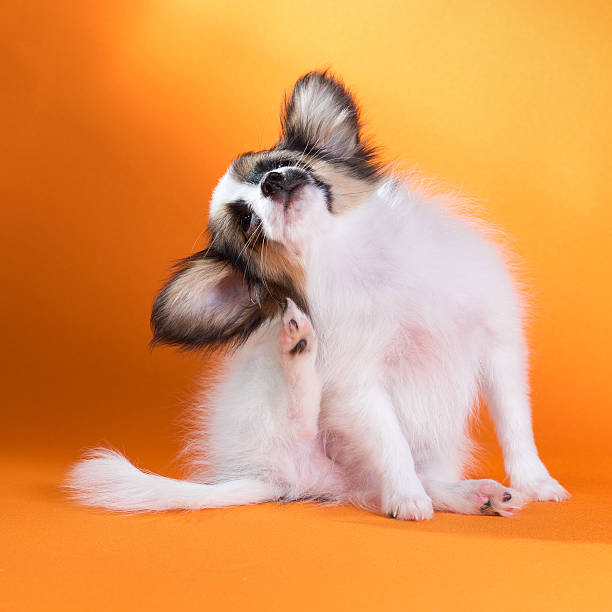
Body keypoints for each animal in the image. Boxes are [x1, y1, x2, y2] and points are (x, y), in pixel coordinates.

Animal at [67, 71, 568, 520]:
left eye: (279, 164)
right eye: (247, 222)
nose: (273, 182)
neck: (358, 258)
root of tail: (275, 478)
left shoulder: (498, 344)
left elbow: (515, 424)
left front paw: (535, 482)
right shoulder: (357, 386)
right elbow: (391, 442)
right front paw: (407, 498)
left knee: (409, 479)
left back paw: (476, 496)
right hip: (270, 400)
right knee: (302, 422)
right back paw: (298, 349)